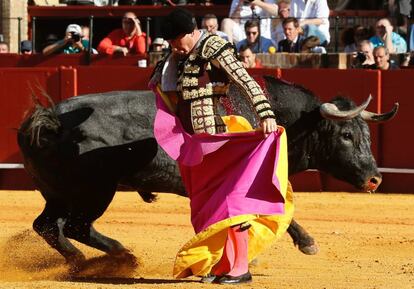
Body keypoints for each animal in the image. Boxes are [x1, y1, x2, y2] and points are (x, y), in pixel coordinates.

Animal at [17, 76, 398, 266]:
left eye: (366, 135)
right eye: (346, 136)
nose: (374, 178)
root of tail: (49, 120)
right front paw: (307, 243)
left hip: (59, 193)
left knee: (48, 225)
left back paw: (93, 259)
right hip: (95, 191)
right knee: (74, 226)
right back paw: (114, 257)